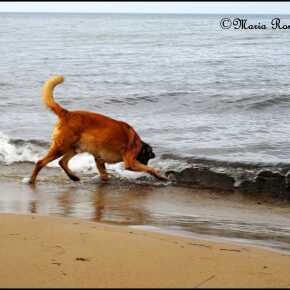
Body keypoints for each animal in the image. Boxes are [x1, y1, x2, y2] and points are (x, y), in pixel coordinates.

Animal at [29, 75, 168, 184]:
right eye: (148, 158)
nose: (146, 163)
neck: (138, 143)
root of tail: (67, 114)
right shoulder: (130, 162)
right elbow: (150, 170)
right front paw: (160, 176)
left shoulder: (99, 159)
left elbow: (104, 174)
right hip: (61, 147)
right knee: (41, 162)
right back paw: (32, 180)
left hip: (75, 148)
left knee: (62, 162)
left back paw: (73, 177)